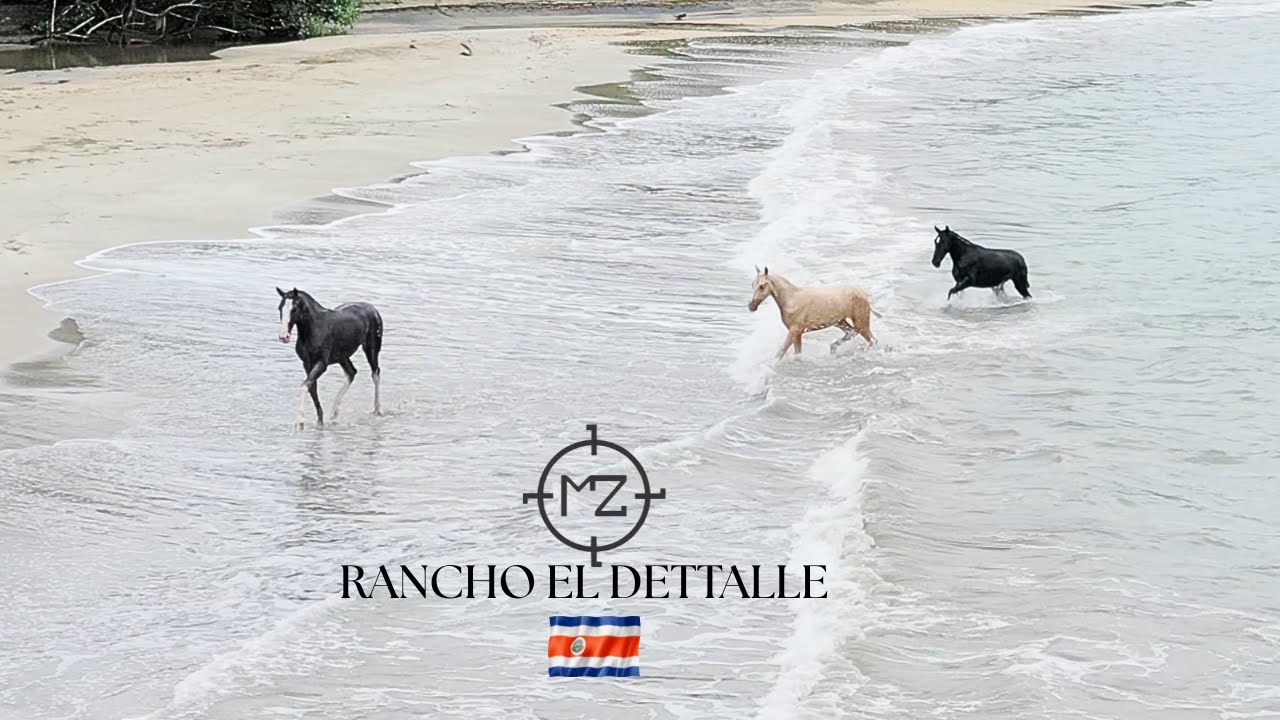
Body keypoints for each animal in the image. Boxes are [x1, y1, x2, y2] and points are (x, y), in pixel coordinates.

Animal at [276, 287, 383, 429]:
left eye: (294, 308)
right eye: (280, 308)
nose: (284, 336)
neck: (314, 330)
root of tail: (372, 308)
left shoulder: (322, 363)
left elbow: (305, 385)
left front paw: (300, 421)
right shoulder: (307, 363)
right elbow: (312, 388)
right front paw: (319, 421)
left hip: (371, 348)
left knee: (375, 373)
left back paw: (377, 410)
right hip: (342, 356)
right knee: (352, 372)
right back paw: (334, 413)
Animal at [747, 266, 882, 359]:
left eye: (762, 286)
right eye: (752, 284)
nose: (751, 306)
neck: (791, 300)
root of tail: (864, 295)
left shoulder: (794, 331)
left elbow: (780, 353)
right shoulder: (797, 334)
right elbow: (797, 353)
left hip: (861, 322)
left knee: (872, 340)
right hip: (840, 322)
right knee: (852, 333)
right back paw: (833, 349)